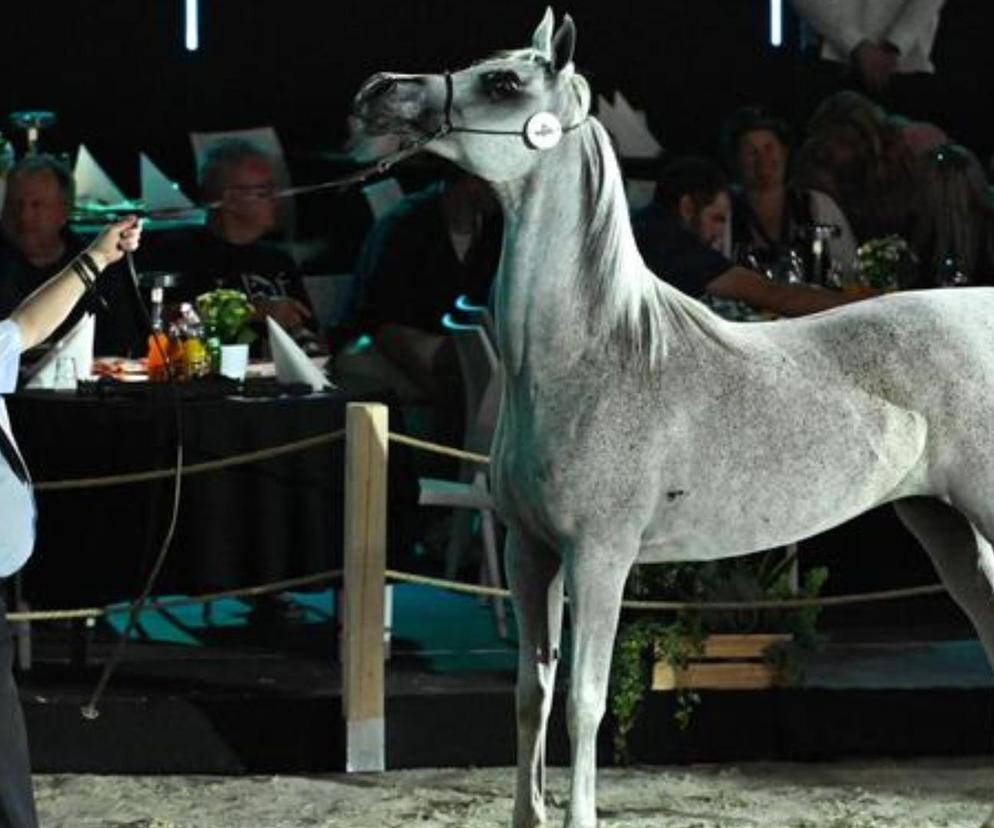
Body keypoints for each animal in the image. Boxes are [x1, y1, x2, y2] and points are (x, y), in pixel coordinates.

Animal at [356, 8, 994, 828]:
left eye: (502, 82)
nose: (378, 90)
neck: (593, 354)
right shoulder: (531, 554)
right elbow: (532, 694)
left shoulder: (600, 558)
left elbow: (584, 703)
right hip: (943, 527)